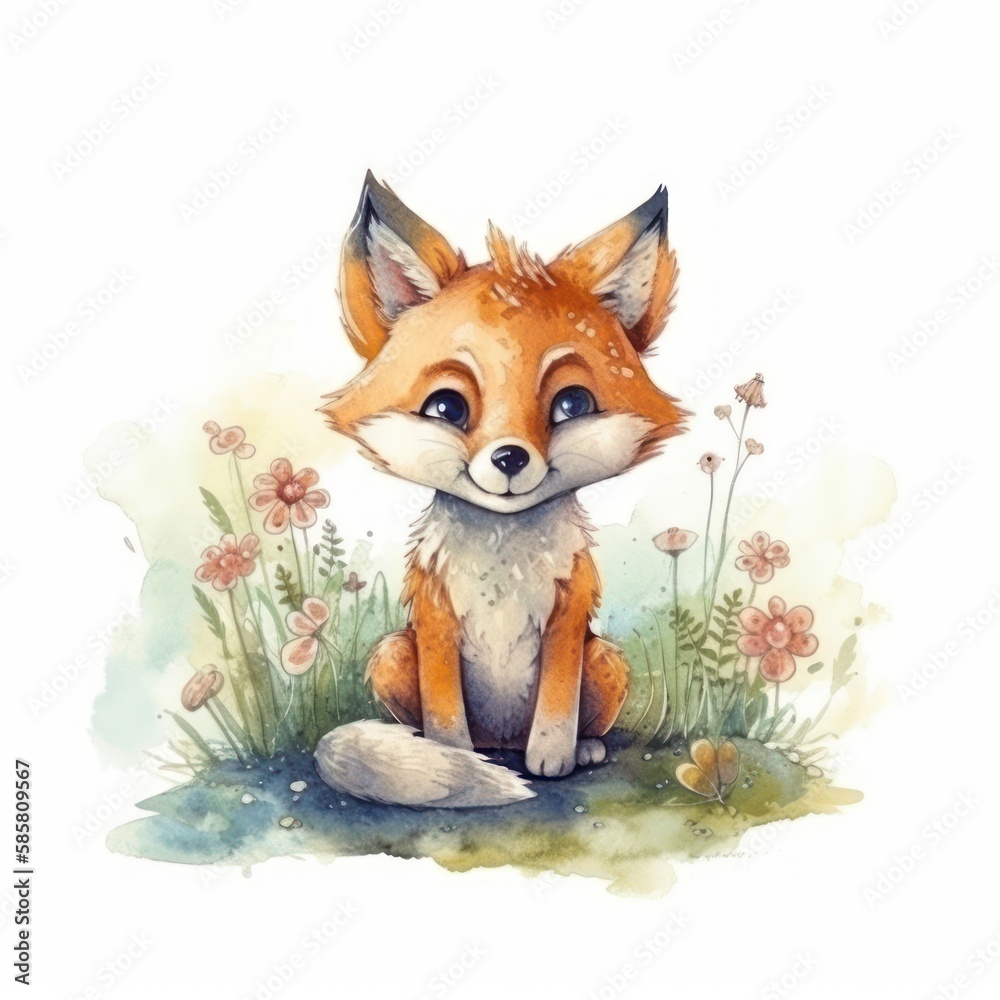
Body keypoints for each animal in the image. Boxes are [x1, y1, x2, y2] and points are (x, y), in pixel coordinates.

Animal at [313, 171, 685, 808]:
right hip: (392, 653)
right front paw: (454, 762)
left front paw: (553, 759)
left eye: (571, 404)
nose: (510, 457)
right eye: (447, 407)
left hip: (607, 660)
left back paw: (580, 749)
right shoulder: (435, 618)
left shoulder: (568, 614)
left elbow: (557, 704)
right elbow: (445, 715)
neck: (501, 563)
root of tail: (503, 737)